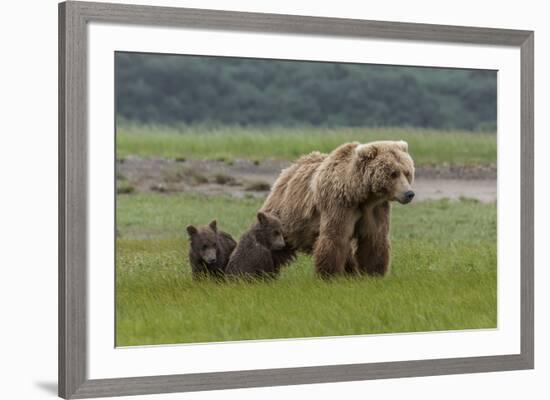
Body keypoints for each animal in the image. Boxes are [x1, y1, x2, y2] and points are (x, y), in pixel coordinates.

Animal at [262, 141, 414, 278]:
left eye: (407, 173)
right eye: (393, 173)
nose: (409, 193)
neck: (359, 194)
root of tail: (290, 168)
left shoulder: (375, 209)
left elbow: (374, 238)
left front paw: (373, 272)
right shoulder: (339, 204)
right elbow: (335, 237)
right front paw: (329, 274)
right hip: (287, 216)